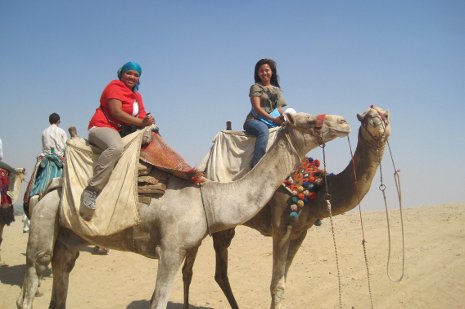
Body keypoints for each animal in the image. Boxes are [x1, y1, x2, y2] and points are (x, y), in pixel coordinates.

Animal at [179, 104, 390, 306]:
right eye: (368, 118)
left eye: (385, 115)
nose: (343, 121)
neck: (315, 192)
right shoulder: (281, 226)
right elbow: (276, 286)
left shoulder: (300, 232)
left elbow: (283, 282)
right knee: (198, 271)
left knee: (209, 272)